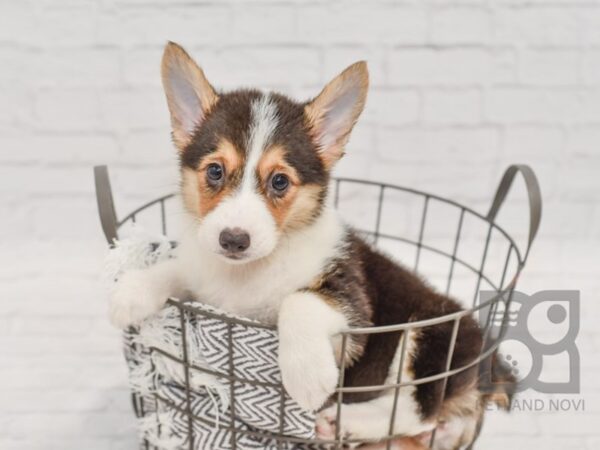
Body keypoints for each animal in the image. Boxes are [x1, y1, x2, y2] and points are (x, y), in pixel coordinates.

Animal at [110, 41, 508, 446]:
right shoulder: (206, 283)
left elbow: (299, 300)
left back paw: (342, 421)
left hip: (433, 337)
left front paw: (307, 376)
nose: (234, 240)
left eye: (280, 181)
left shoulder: (353, 307)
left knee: (415, 410)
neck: (251, 272)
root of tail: (490, 364)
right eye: (215, 171)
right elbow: (177, 266)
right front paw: (131, 292)